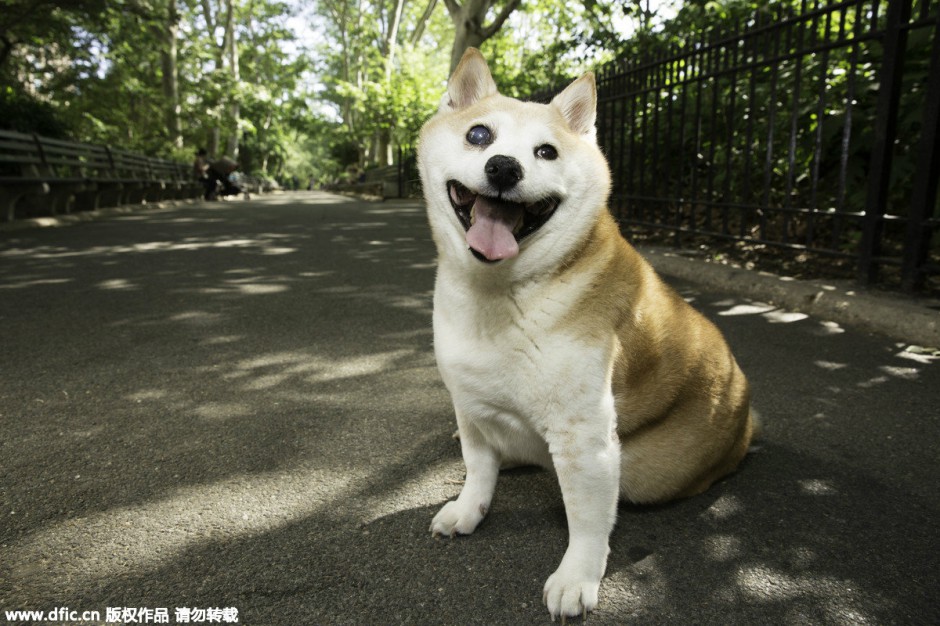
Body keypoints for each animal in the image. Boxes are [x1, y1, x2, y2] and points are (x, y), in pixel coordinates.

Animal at [418, 48, 756, 620]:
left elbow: (587, 520)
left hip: (650, 470)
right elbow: (478, 466)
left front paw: (577, 577)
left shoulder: (586, 436)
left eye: (546, 152)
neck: (499, 295)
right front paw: (470, 509)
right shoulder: (469, 402)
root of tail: (746, 417)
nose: (504, 167)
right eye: (479, 135)